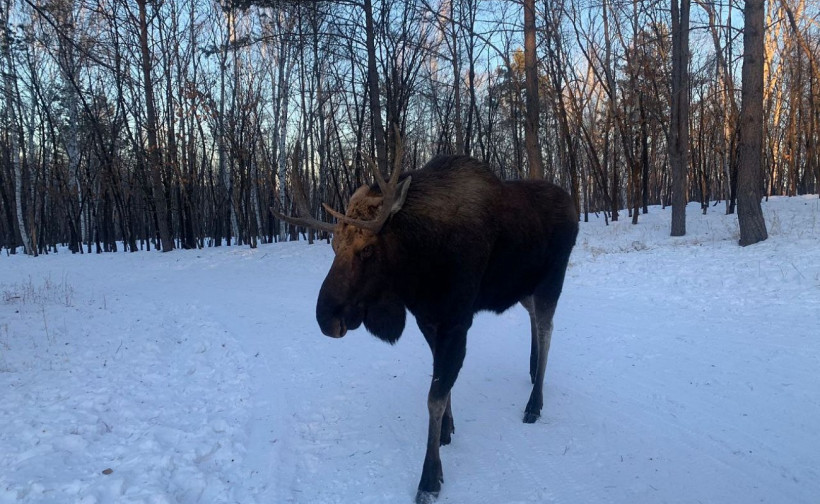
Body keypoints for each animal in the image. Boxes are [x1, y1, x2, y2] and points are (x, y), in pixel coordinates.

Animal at [273, 141, 578, 503]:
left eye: (367, 249)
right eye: (333, 246)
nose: (325, 318)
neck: (418, 267)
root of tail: (574, 206)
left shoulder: (456, 321)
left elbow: (434, 396)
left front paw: (430, 477)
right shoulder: (427, 320)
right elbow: (441, 385)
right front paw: (447, 430)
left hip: (551, 278)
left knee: (547, 329)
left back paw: (534, 403)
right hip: (522, 286)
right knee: (533, 318)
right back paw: (531, 370)